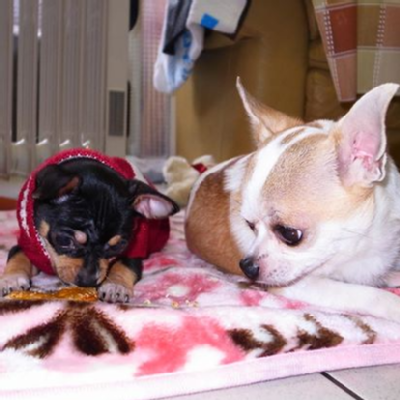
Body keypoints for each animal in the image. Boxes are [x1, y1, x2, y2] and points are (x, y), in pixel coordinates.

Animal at [0, 148, 179, 303]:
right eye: (65, 240)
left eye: (117, 247)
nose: (88, 281)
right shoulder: (28, 244)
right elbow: (17, 255)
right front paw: (11, 278)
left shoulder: (135, 250)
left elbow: (124, 265)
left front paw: (116, 285)